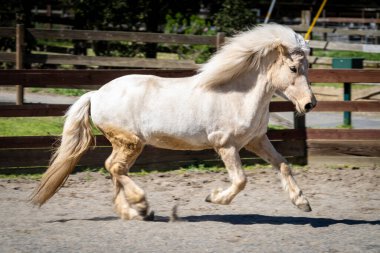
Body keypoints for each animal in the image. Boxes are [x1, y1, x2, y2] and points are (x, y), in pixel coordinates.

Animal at [31, 24, 318, 220]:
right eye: (293, 68)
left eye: (307, 69)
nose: (309, 104)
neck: (238, 95)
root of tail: (96, 94)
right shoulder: (225, 145)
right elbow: (240, 181)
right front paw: (213, 197)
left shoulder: (256, 141)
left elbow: (283, 165)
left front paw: (302, 202)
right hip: (129, 142)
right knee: (114, 167)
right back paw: (141, 204)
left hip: (129, 145)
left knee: (115, 170)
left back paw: (133, 212)